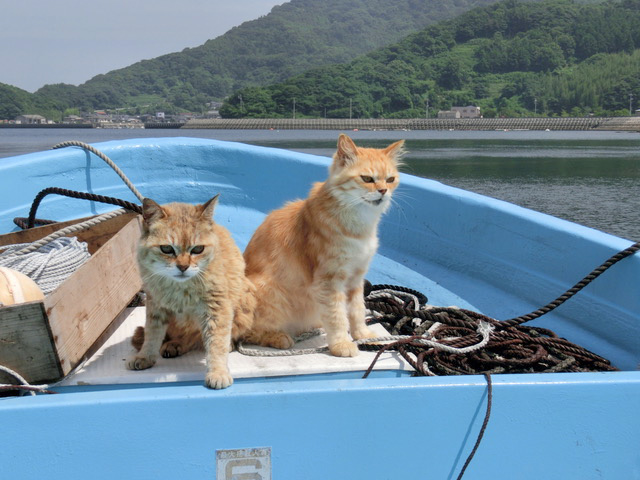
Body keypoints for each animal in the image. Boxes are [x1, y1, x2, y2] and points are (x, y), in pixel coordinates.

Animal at [126, 195, 254, 390]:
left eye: (197, 249)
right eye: (166, 249)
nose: (183, 267)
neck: (181, 287)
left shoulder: (216, 309)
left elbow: (217, 343)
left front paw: (218, 372)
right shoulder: (155, 306)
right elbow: (152, 334)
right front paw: (145, 356)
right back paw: (174, 345)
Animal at [242, 134, 402, 356]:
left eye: (390, 179)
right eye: (367, 179)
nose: (383, 190)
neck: (359, 224)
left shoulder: (356, 277)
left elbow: (357, 310)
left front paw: (362, 335)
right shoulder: (329, 280)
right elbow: (337, 316)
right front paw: (341, 344)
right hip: (270, 292)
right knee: (244, 334)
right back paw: (278, 337)